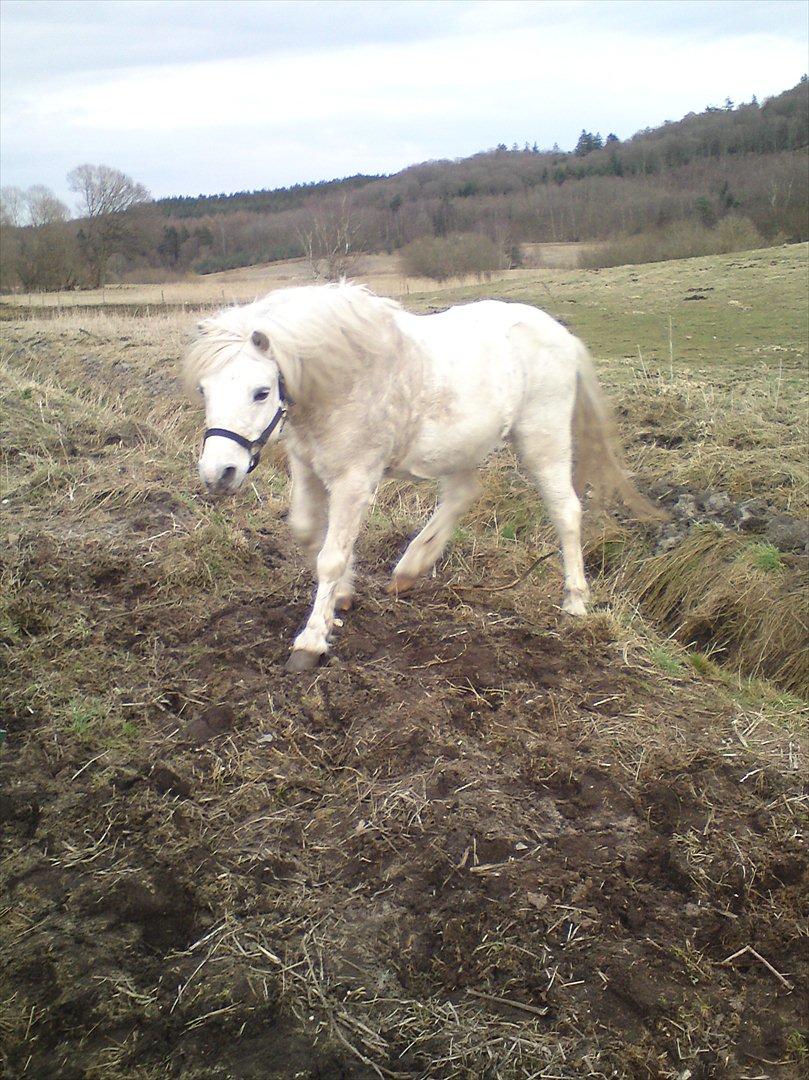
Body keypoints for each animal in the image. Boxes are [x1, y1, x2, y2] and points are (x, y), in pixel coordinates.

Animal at [182, 282, 656, 669]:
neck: (342, 379)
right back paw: (411, 568)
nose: (218, 473)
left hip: (543, 437)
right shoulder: (307, 466)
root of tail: (563, 336)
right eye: (204, 389)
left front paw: (312, 641)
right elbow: (306, 532)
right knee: (463, 495)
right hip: (463, 445)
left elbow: (330, 555)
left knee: (565, 511)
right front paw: (342, 597)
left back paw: (575, 602)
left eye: (261, 392)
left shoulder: (355, 479)